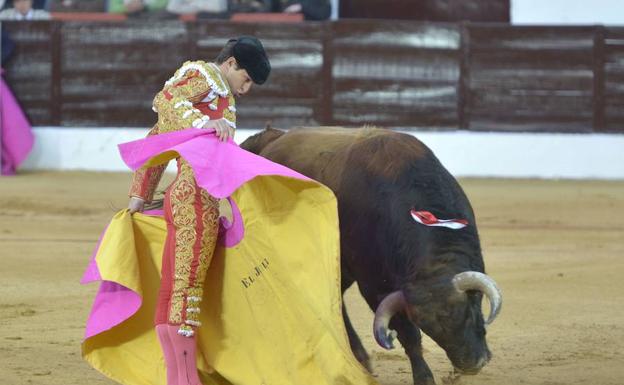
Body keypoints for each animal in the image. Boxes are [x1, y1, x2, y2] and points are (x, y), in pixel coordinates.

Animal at [239, 127, 502, 384]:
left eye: (469, 310)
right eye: (429, 327)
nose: (470, 365)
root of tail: (273, 139)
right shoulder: (375, 287)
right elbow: (410, 336)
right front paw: (424, 377)